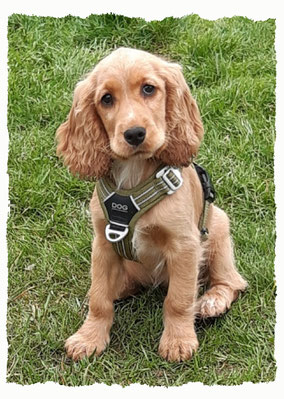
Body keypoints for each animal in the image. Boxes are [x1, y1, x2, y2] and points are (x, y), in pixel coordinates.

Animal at [56, 47, 246, 362]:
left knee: (232, 281)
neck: (134, 179)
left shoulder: (185, 245)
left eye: (148, 89)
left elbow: (178, 299)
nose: (134, 134)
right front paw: (89, 337)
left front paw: (178, 341)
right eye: (106, 99)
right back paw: (120, 287)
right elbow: (98, 297)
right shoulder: (103, 243)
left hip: (218, 227)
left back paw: (212, 301)